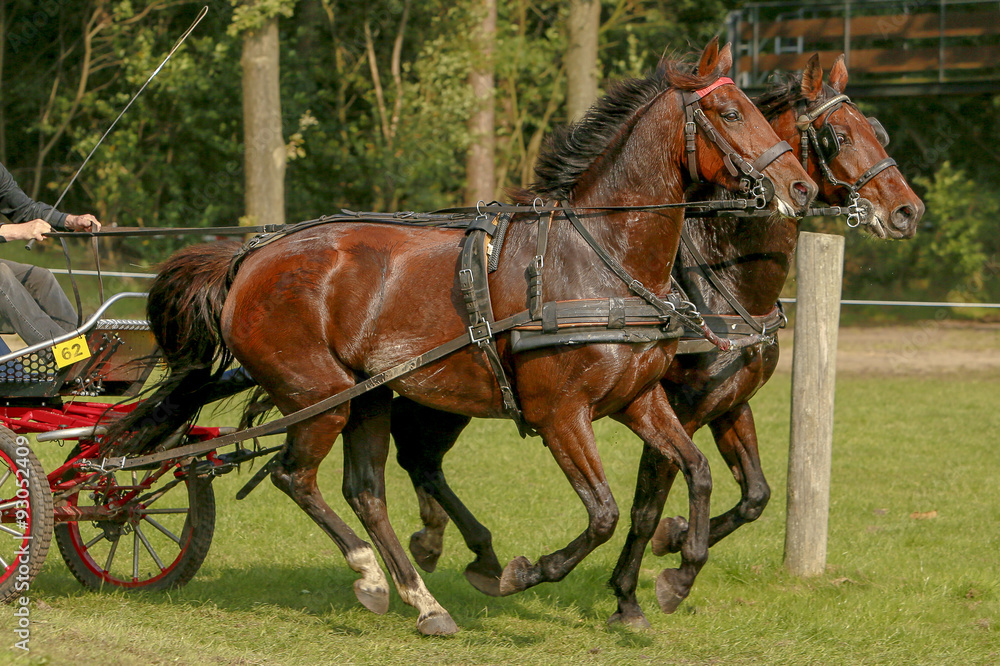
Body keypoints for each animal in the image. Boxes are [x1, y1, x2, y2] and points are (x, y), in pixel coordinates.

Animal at [111, 40, 812, 632]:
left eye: (759, 112)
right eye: (730, 112)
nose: (800, 188)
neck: (596, 260)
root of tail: (248, 259)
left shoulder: (642, 400)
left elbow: (694, 474)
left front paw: (676, 575)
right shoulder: (562, 414)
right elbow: (606, 512)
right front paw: (527, 573)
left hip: (370, 395)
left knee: (366, 491)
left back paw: (424, 602)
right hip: (319, 398)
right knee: (296, 478)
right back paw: (375, 578)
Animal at [390, 54, 920, 624]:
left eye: (879, 131)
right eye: (838, 136)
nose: (908, 211)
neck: (719, 281)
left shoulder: (728, 403)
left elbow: (754, 494)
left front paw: (676, 542)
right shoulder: (678, 405)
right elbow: (647, 505)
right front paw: (633, 589)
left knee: (419, 455)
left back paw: (444, 543)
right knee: (417, 453)